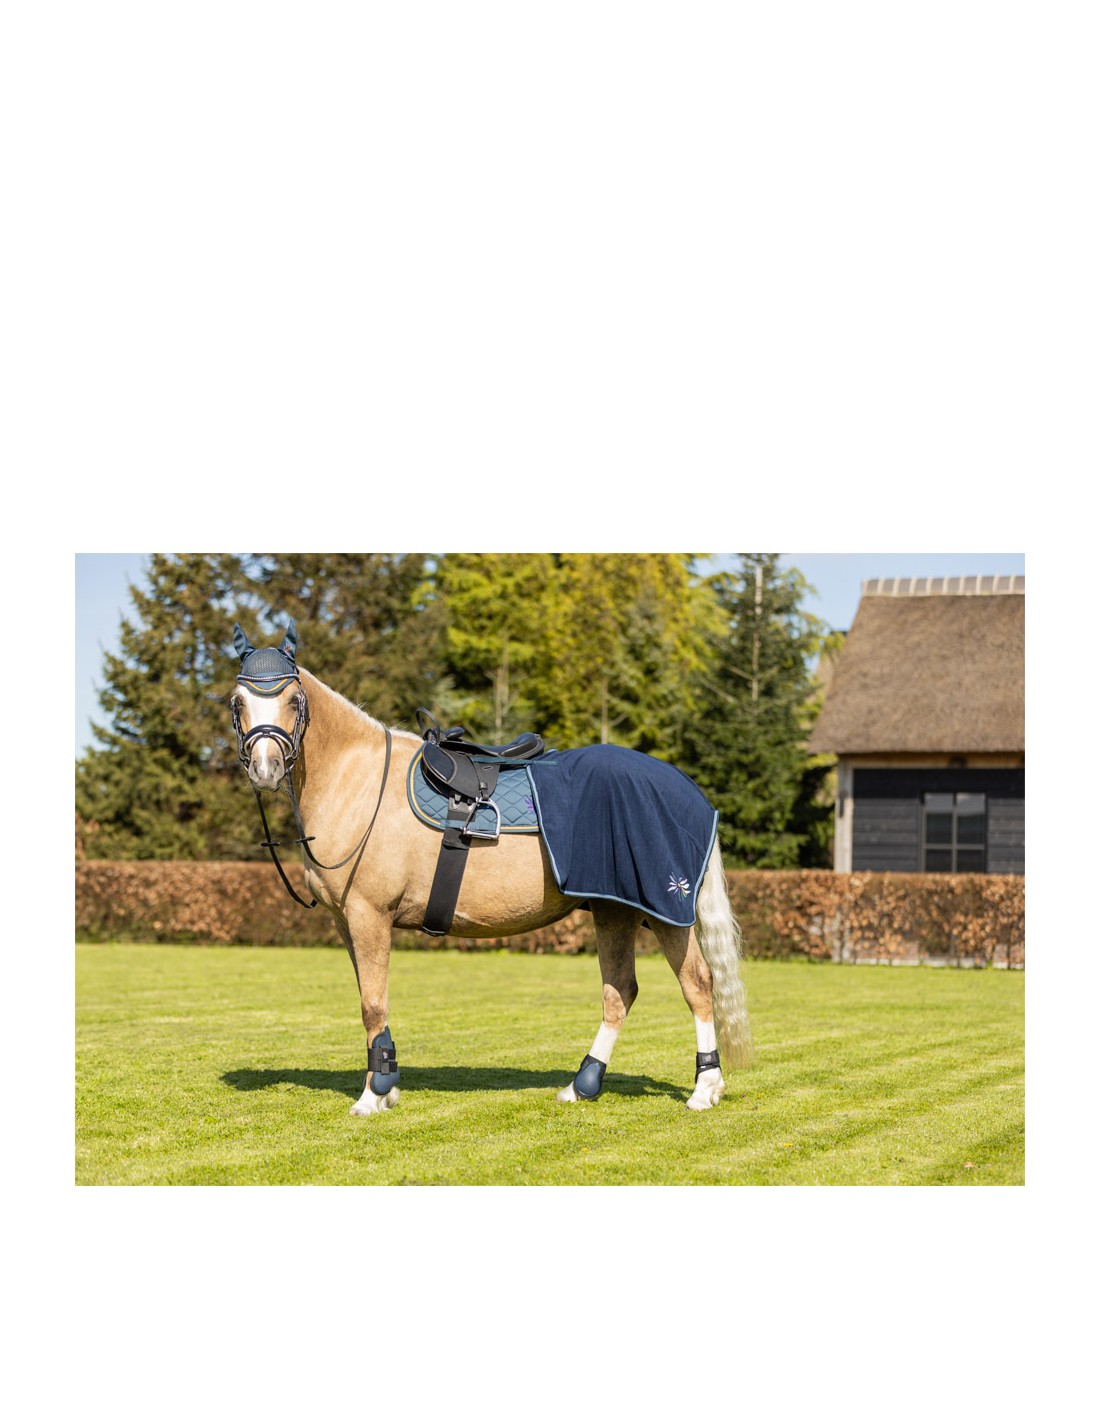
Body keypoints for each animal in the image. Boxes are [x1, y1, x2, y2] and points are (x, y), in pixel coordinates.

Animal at [230, 621, 753, 1117]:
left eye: (294, 699)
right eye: (237, 701)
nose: (265, 768)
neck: (358, 781)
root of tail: (688, 789)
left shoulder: (368, 916)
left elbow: (372, 1005)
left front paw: (372, 1095)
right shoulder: (347, 924)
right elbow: (369, 1002)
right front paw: (387, 1085)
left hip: (666, 911)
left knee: (697, 985)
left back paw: (704, 1088)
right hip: (615, 911)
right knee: (620, 991)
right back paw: (581, 1086)